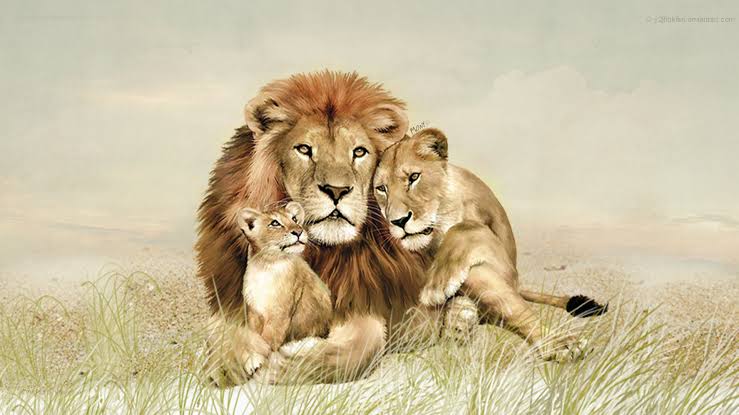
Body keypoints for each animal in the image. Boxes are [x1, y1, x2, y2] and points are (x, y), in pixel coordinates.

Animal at [373, 128, 608, 360]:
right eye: (382, 188)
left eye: (414, 177)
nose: (398, 221)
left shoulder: (502, 260)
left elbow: (465, 228)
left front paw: (436, 286)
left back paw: (561, 344)